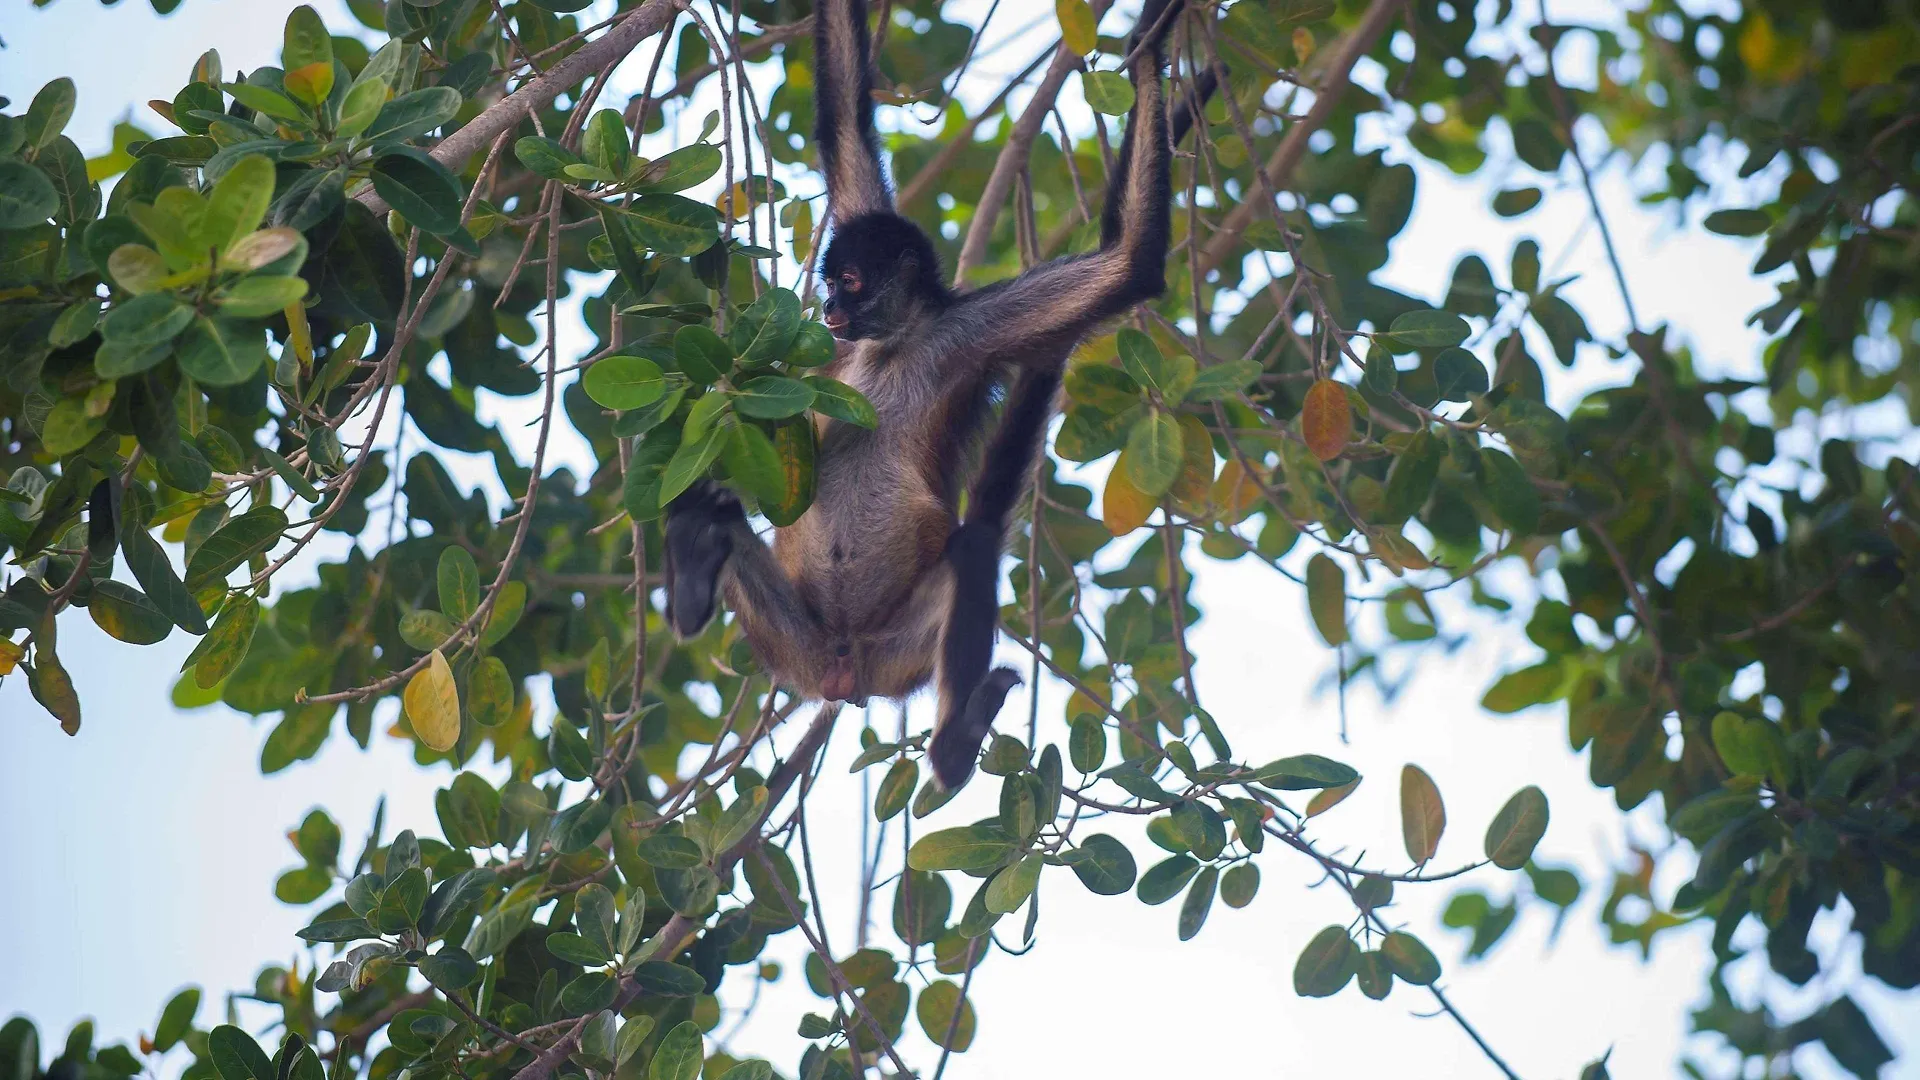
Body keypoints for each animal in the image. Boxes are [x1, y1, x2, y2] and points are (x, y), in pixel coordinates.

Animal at [668, 0, 1190, 787]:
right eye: (828, 282)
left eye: (850, 282)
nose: (827, 309)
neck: (895, 343)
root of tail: (842, 669)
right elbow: (844, 124)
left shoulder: (972, 331)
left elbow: (1130, 265)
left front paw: (1150, 48)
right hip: (792, 639)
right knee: (716, 510)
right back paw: (696, 574)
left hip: (895, 650)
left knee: (972, 547)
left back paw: (951, 748)